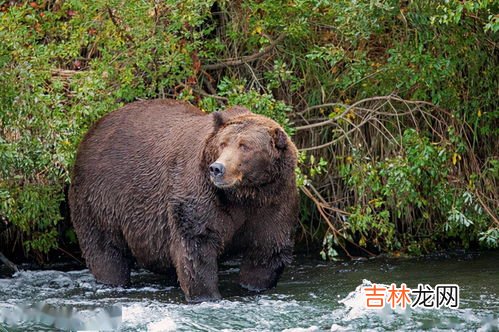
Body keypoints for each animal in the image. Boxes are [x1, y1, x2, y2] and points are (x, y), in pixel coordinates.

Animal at [68, 98, 298, 304]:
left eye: (245, 146)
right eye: (223, 143)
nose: (217, 168)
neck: (244, 194)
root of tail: (92, 130)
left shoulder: (274, 202)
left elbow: (266, 250)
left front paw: (253, 285)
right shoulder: (201, 195)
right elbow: (196, 247)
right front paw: (206, 296)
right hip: (101, 198)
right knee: (106, 251)